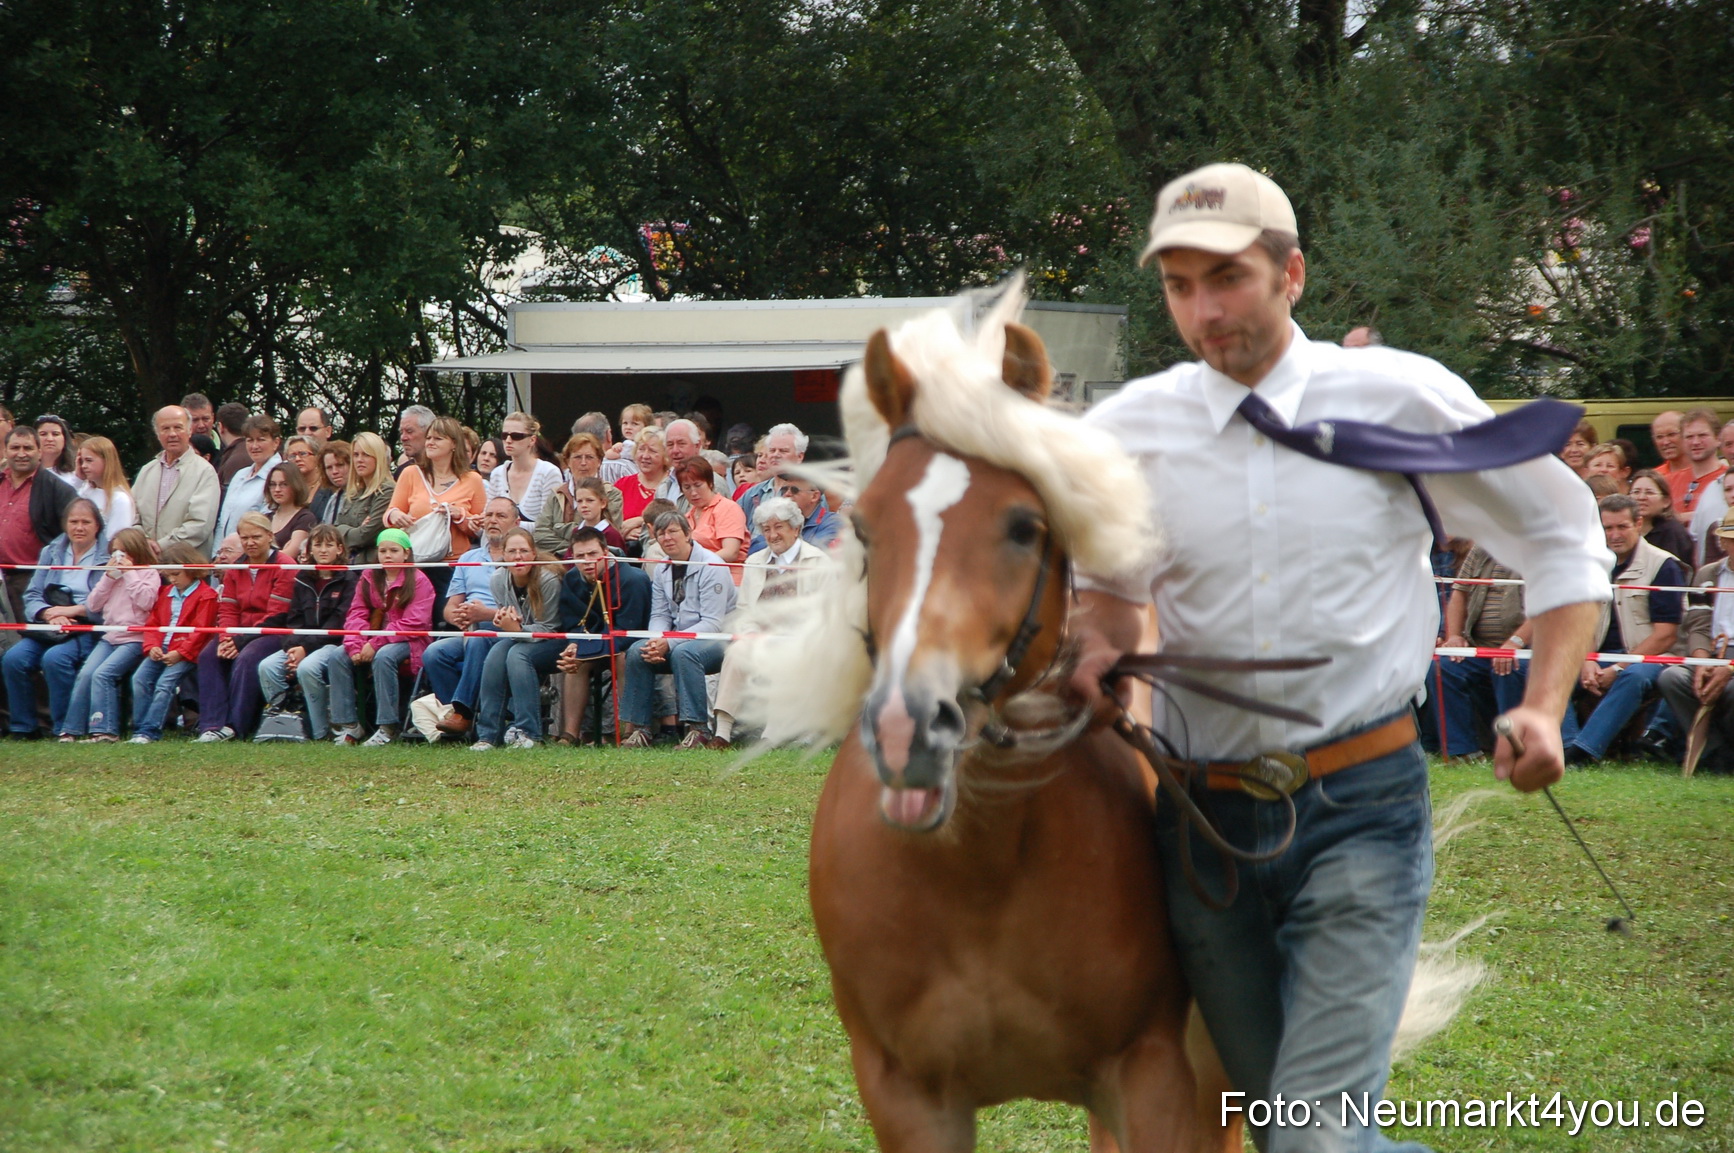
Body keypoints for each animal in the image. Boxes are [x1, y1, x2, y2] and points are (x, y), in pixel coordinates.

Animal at [795, 293, 1239, 1153]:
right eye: (864, 528)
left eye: (1025, 526)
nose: (906, 730)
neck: (979, 870)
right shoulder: (907, 1097)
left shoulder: (1153, 1076)